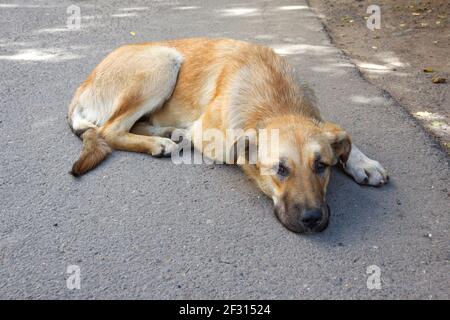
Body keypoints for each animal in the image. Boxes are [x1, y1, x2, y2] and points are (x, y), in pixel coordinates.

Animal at [68, 38, 388, 232]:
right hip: (163, 62)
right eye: (280, 170)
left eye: (321, 166)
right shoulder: (212, 135)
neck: (276, 100)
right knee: (110, 130)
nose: (312, 220)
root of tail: (82, 86)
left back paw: (166, 133)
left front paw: (363, 163)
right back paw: (158, 142)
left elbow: (340, 133)